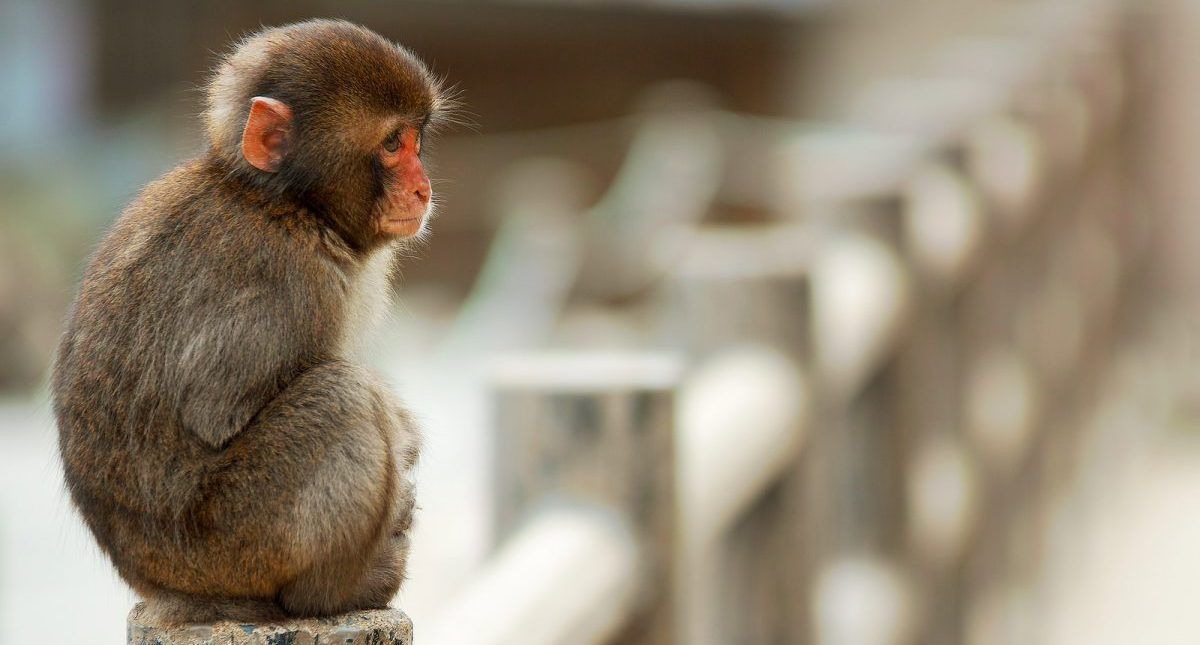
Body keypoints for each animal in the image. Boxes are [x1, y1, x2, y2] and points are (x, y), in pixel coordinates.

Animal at [51, 20, 453, 623]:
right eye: (391, 144)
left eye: (415, 141)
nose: (423, 187)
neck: (286, 204)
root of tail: (156, 584)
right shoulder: (285, 278)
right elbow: (217, 412)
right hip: (234, 545)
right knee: (341, 396)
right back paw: (336, 592)